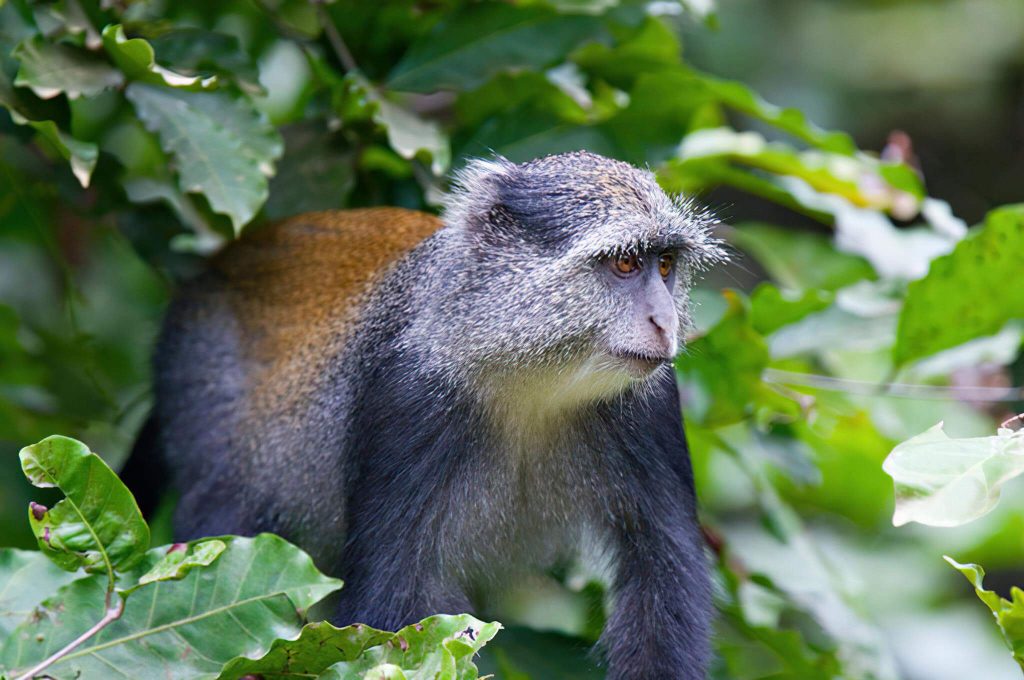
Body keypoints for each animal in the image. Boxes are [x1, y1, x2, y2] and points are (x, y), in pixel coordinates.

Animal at [135, 151, 725, 679]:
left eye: (665, 265)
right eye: (625, 263)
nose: (665, 321)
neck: (529, 375)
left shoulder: (650, 405)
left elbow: (663, 570)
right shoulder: (408, 399)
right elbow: (396, 593)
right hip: (199, 367)